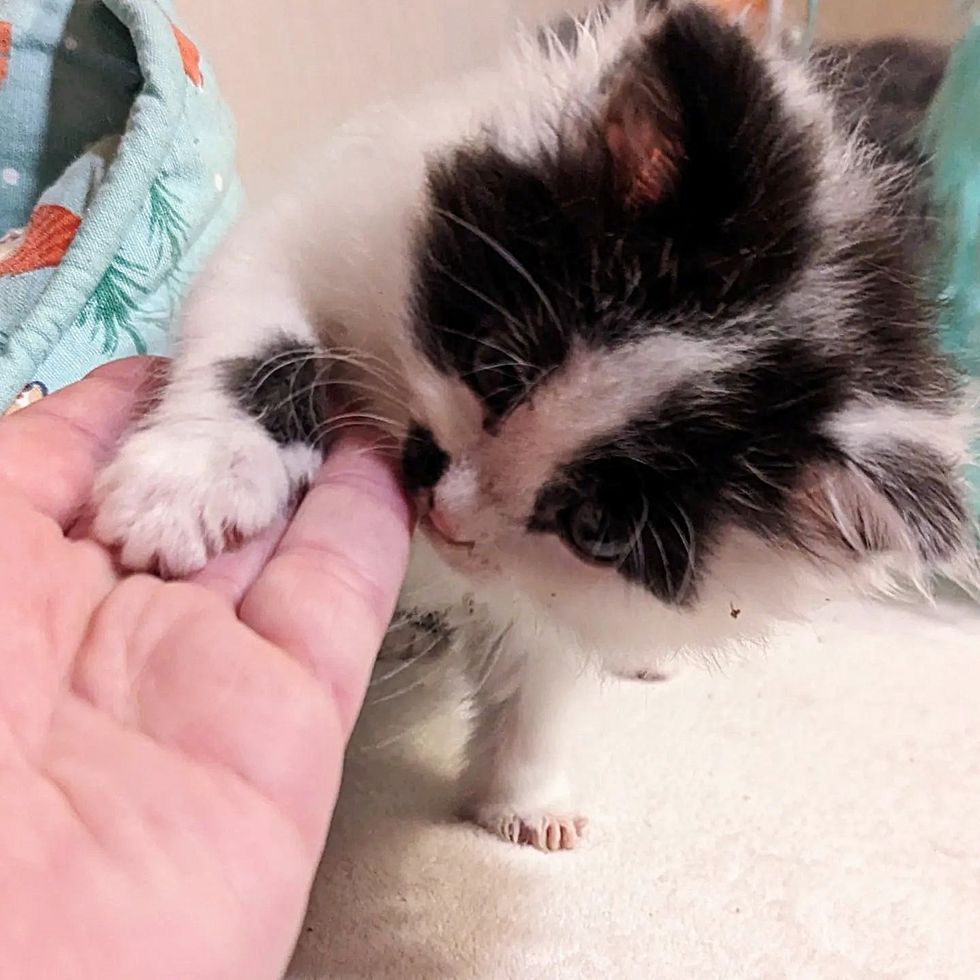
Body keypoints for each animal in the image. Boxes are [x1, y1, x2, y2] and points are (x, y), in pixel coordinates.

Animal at [90, 1, 972, 848]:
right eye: (496, 367)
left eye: (597, 528)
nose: (448, 512)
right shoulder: (316, 230)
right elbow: (260, 344)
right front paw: (188, 487)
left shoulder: (549, 583)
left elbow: (536, 667)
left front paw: (523, 800)